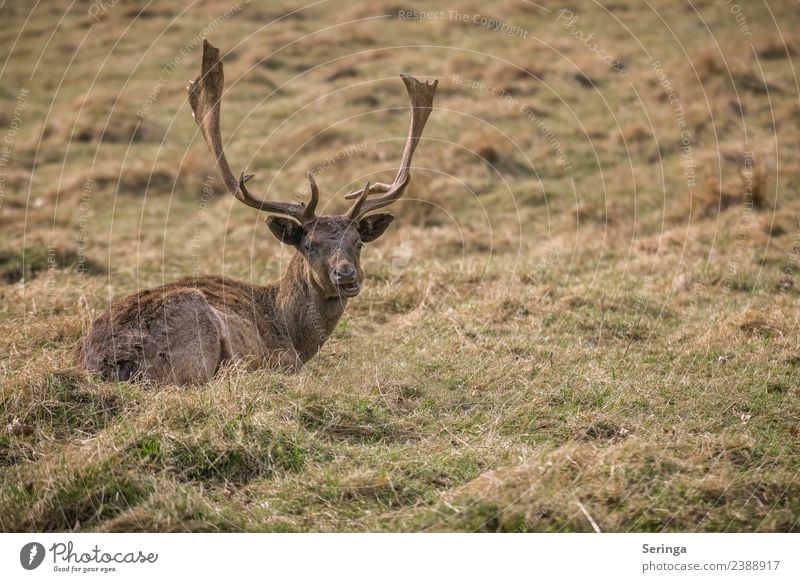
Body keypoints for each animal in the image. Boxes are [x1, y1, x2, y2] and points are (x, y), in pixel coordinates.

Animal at [76, 42, 438, 388]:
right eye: (309, 245)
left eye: (359, 242)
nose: (346, 276)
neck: (294, 333)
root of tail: (114, 364)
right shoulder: (284, 358)